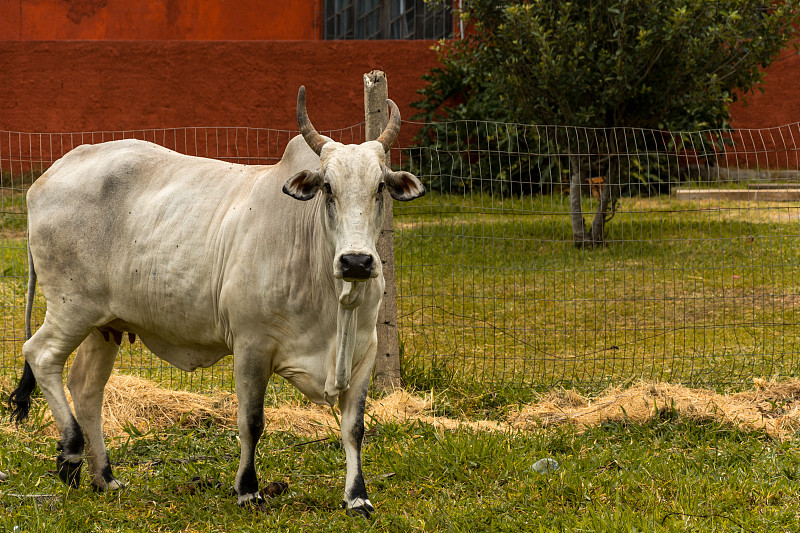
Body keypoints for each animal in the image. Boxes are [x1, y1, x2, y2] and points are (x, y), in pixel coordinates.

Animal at [6, 86, 424, 516]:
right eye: (327, 187)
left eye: (380, 187)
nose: (356, 261)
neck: (332, 299)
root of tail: (48, 176)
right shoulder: (252, 346)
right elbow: (251, 421)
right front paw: (248, 489)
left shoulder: (365, 351)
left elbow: (354, 427)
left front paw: (357, 496)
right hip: (70, 307)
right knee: (40, 355)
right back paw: (71, 454)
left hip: (104, 325)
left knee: (87, 387)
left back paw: (104, 477)